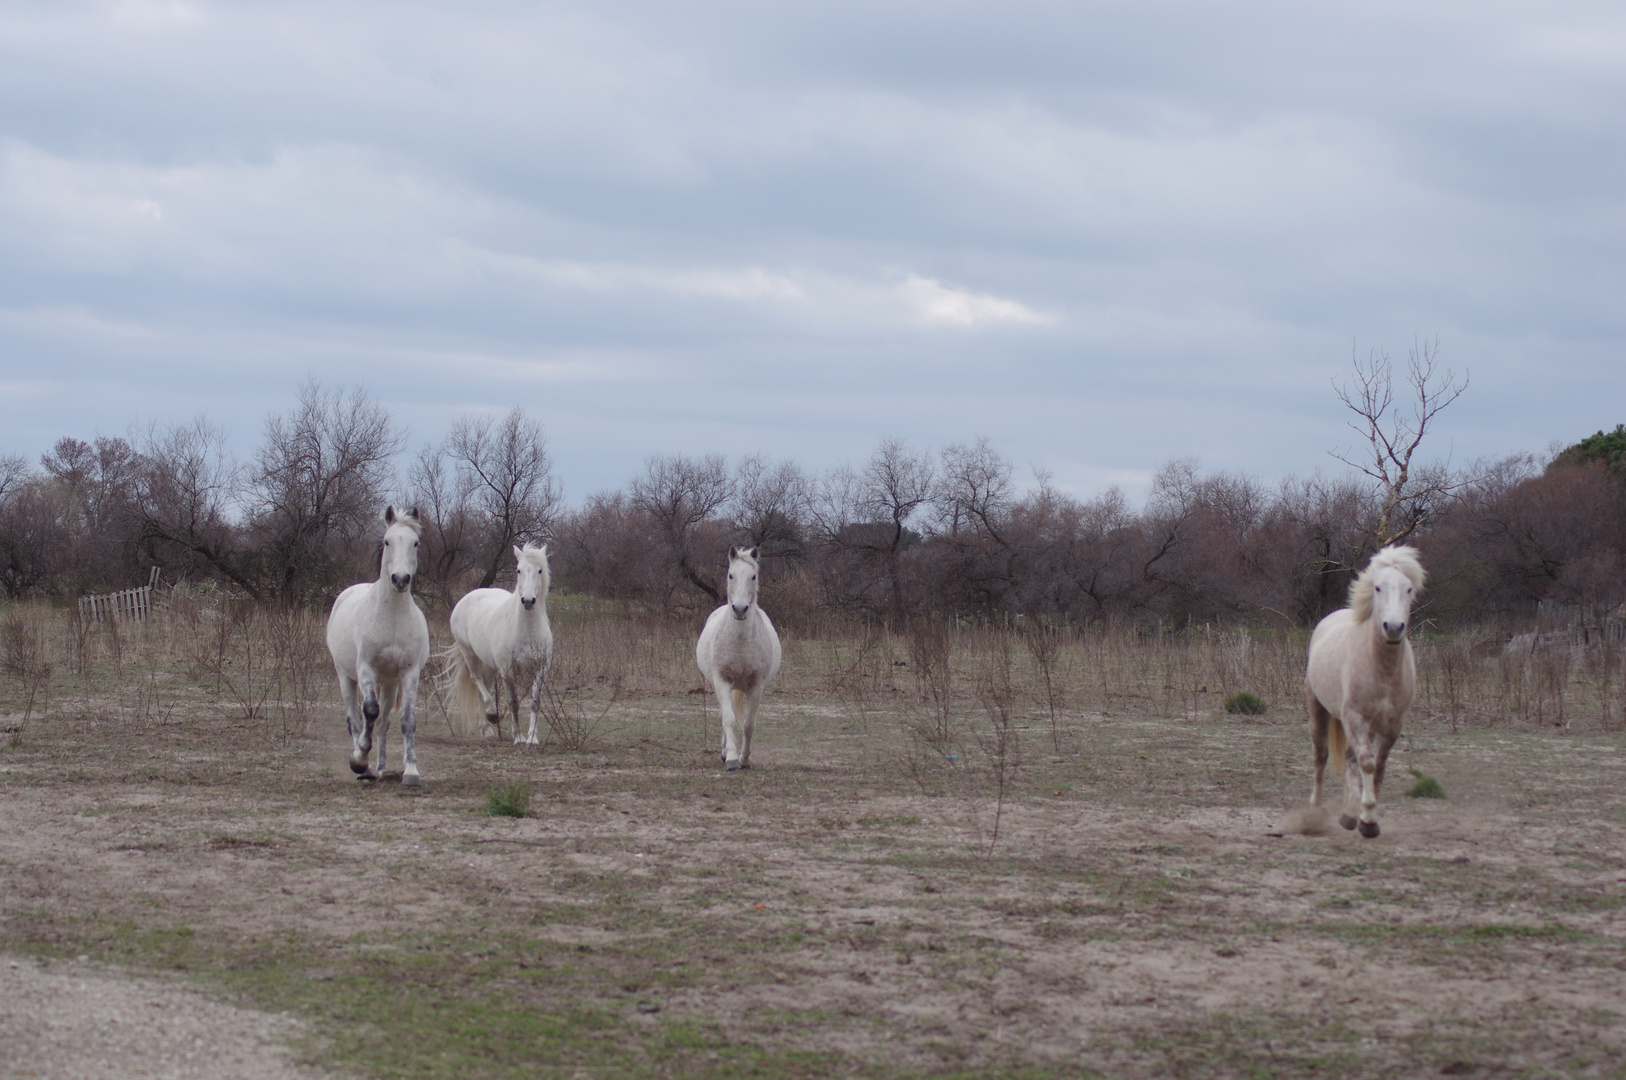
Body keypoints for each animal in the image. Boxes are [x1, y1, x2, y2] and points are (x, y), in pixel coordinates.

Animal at [323, 507, 432, 783]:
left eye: (416, 542)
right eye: (387, 541)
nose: (400, 579)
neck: (391, 617)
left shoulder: (409, 673)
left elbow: (407, 720)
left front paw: (411, 772)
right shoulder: (366, 669)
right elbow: (369, 711)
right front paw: (360, 760)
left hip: (390, 684)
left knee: (383, 723)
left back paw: (382, 768)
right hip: (345, 676)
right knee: (355, 719)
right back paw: (366, 769)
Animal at [448, 543, 556, 748]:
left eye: (540, 570)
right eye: (518, 570)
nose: (528, 601)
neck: (527, 630)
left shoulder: (541, 668)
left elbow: (534, 702)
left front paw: (532, 737)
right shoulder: (507, 669)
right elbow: (513, 702)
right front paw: (518, 738)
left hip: (489, 664)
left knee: (486, 686)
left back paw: (488, 728)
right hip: (470, 654)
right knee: (477, 681)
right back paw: (491, 717)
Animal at [692, 549, 780, 767]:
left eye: (753, 576)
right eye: (731, 575)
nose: (740, 609)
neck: (740, 642)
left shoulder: (756, 686)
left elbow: (748, 725)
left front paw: (745, 759)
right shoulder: (722, 681)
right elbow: (729, 719)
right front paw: (732, 758)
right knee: (725, 715)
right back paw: (725, 753)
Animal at [1300, 543, 1430, 839]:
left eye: (1408, 589)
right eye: (1378, 588)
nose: (1393, 628)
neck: (1382, 668)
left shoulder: (1391, 725)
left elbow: (1378, 767)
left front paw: (1365, 817)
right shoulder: (1356, 718)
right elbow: (1367, 764)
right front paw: (1368, 820)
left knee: (1350, 758)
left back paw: (1348, 814)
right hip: (1320, 710)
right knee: (1321, 756)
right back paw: (1315, 808)